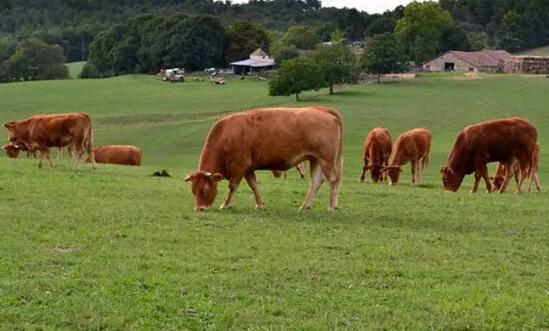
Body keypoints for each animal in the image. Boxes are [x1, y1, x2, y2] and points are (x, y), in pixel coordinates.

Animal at [186, 107, 344, 214]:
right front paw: (259, 204)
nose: (199, 208)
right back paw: (305, 206)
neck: (226, 135)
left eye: (205, 189)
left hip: (326, 159)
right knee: (316, 181)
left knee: (333, 180)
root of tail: (323, 109)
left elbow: (233, 186)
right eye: (193, 190)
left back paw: (331, 206)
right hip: (315, 159)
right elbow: (254, 185)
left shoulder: (239, 166)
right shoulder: (248, 168)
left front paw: (226, 204)